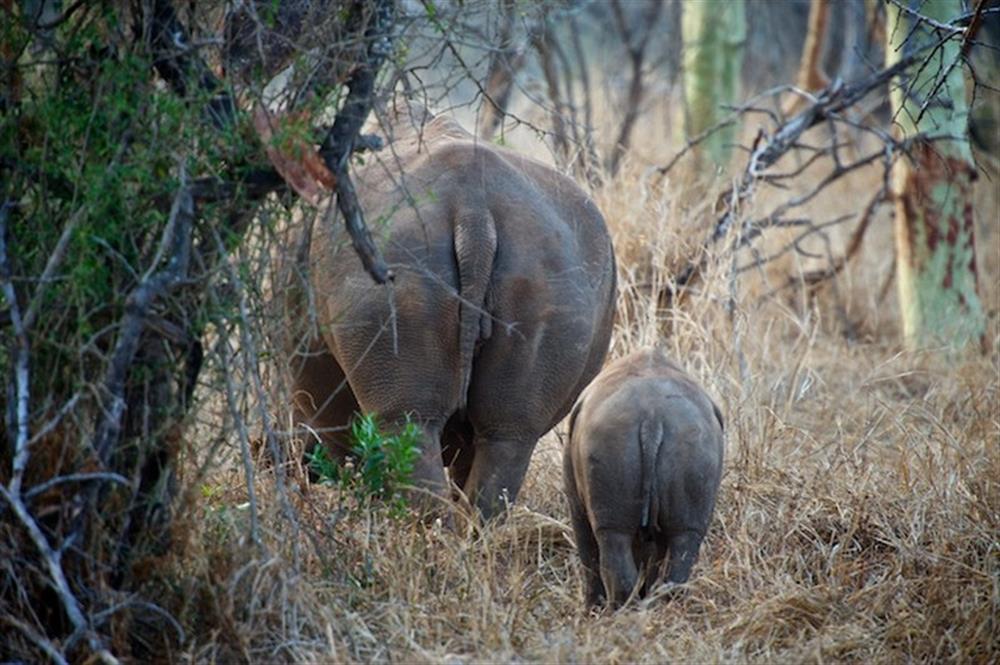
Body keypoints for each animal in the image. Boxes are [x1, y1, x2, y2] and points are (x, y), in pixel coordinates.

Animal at [568, 344, 724, 608]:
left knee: (612, 538)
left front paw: (592, 608)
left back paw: (617, 611)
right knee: (686, 537)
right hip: (694, 443)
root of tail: (653, 419)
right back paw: (664, 606)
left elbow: (588, 549)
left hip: (612, 439)